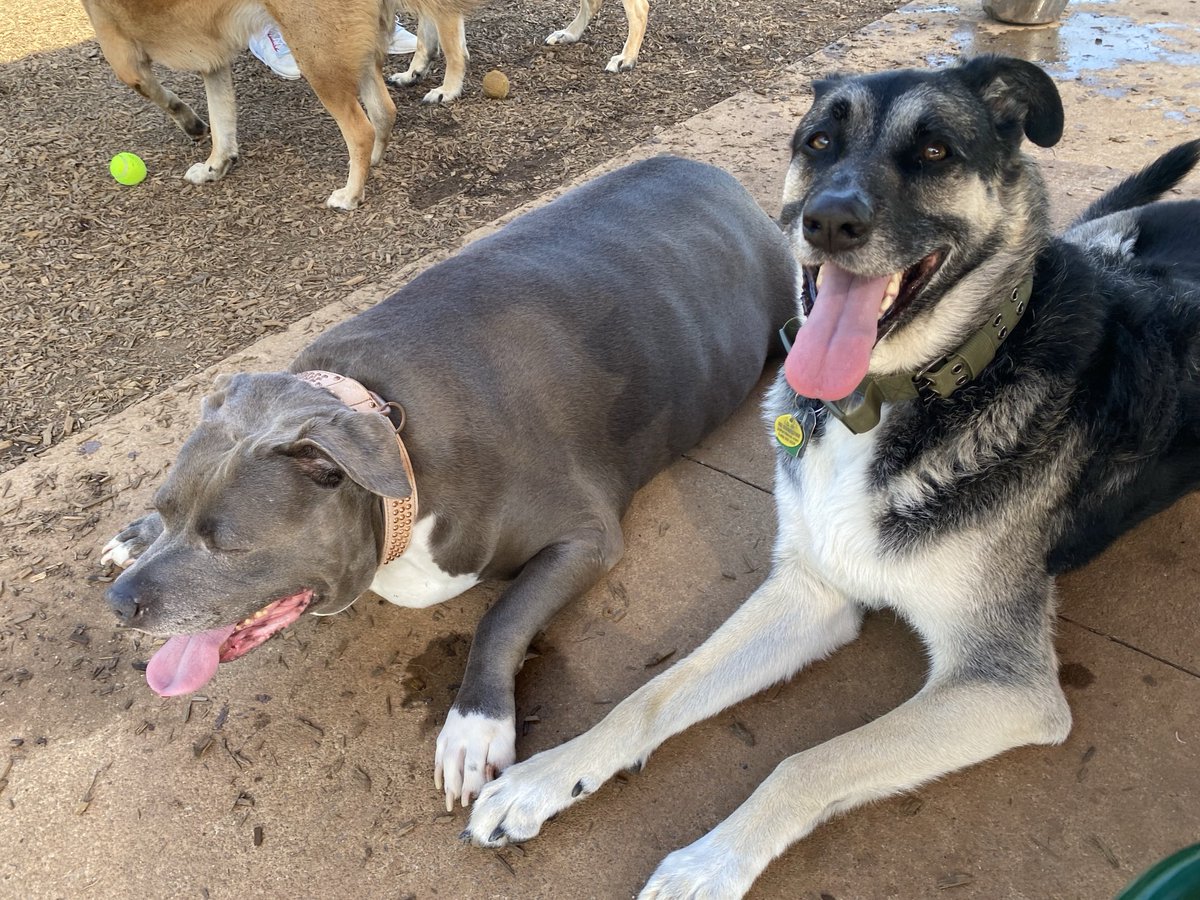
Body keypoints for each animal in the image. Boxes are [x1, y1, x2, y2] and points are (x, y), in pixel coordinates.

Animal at [85, 0, 403, 207]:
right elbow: (221, 120)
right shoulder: (213, 60)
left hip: (317, 59)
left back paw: (351, 194)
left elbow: (157, 93)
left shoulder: (121, 55)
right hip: (354, 54)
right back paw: (373, 159)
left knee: (360, 131)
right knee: (383, 111)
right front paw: (214, 165)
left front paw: (191, 123)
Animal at [103, 158, 796, 816]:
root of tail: (727, 185)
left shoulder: (586, 536)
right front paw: (135, 534)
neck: (393, 446)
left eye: (229, 545)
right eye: (167, 509)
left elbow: (501, 615)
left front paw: (474, 727)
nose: (119, 604)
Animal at [463, 58, 1200, 900]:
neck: (888, 403)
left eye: (936, 151)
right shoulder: (813, 592)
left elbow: (807, 762)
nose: (829, 223)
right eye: (819, 141)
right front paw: (548, 775)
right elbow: (655, 694)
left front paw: (709, 862)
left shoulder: (1004, 683)